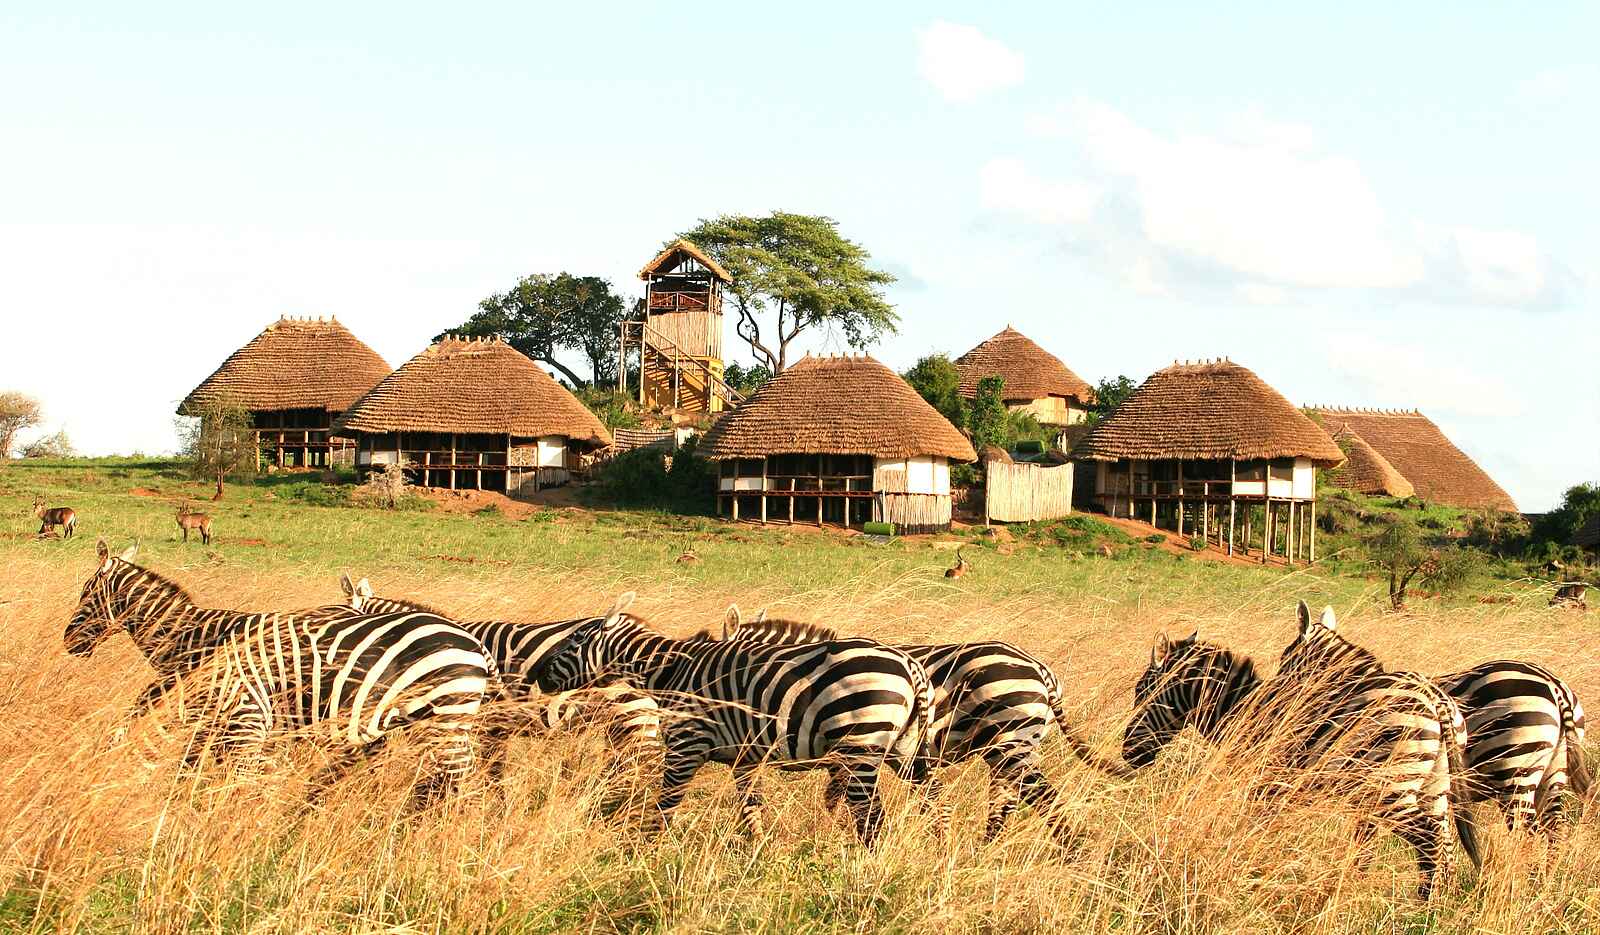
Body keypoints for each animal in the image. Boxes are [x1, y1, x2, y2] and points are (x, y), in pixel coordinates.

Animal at [66, 541, 496, 803]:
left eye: (86, 594)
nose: (68, 643)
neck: (194, 638)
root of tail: (474, 644)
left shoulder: (237, 711)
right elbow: (193, 767)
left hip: (444, 718)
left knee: (454, 780)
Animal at [534, 611, 935, 845]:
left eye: (572, 643)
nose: (537, 677)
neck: (669, 671)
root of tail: (909, 664)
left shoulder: (686, 745)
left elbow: (666, 806)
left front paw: (646, 853)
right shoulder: (746, 757)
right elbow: (751, 807)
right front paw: (758, 852)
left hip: (860, 747)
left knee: (872, 816)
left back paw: (865, 867)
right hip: (904, 749)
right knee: (931, 797)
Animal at [720, 608, 1131, 840]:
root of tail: (1041, 670)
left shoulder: (847, 748)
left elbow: (836, 801)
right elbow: (835, 800)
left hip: (1011, 740)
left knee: (1041, 797)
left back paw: (1068, 851)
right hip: (1008, 747)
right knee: (1008, 802)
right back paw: (986, 852)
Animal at [1123, 619, 1480, 900]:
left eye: (1141, 691)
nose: (1127, 751)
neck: (1243, 710)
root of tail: (1435, 699)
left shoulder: (1264, 786)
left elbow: (1256, 832)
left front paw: (1252, 872)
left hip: (1391, 789)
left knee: (1430, 840)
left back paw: (1423, 905)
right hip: (1433, 786)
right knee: (1445, 842)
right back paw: (1436, 902)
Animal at [1286, 602, 1590, 849]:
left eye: (1285, 660)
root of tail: (1555, 686)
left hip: (1515, 771)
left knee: (1529, 835)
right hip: (1552, 773)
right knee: (1555, 833)